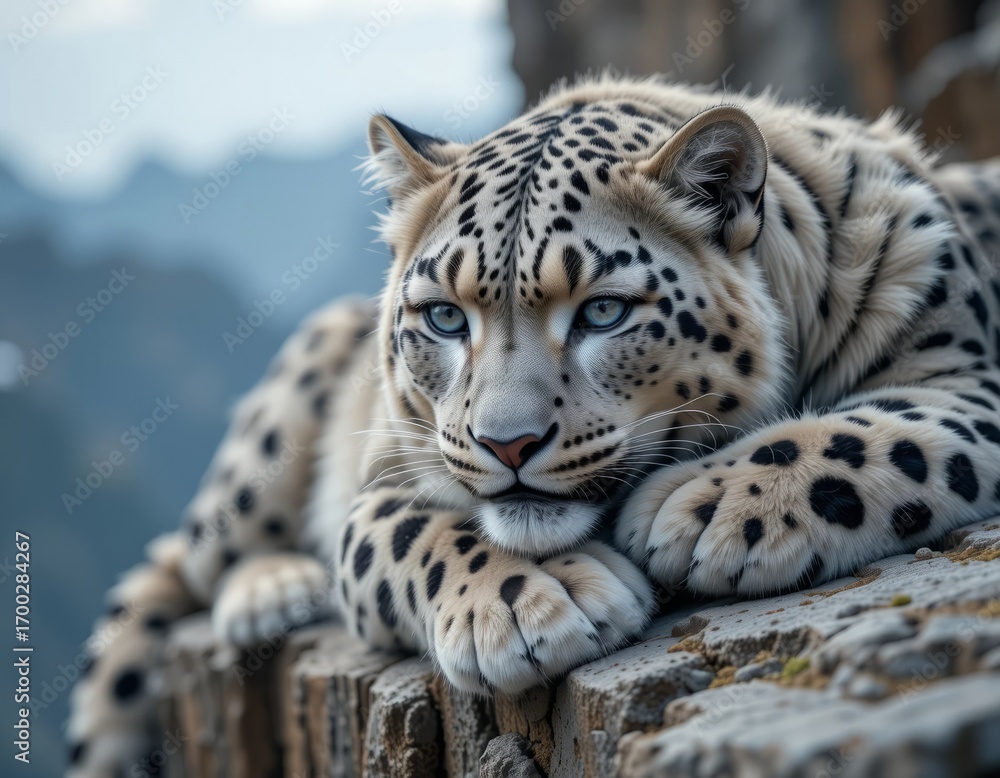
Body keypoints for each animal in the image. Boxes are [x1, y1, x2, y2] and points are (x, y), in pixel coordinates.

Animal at [67, 73, 1000, 776]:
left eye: (603, 311)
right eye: (445, 318)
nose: (505, 443)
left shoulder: (967, 383)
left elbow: (871, 433)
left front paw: (699, 509)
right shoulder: (381, 484)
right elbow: (406, 532)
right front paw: (538, 604)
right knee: (184, 559)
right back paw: (274, 592)